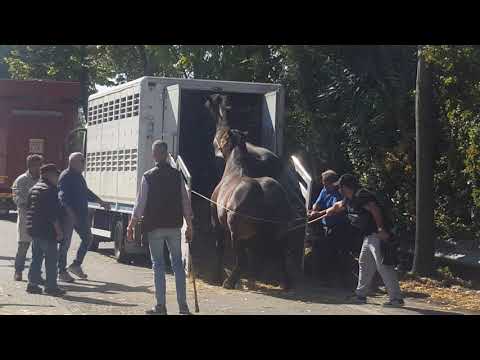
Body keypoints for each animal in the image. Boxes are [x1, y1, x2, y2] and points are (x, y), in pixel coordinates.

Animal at [212, 128, 294, 292]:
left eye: (224, 139)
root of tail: (266, 194)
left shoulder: (217, 225)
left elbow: (220, 248)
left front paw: (217, 277)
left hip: (237, 235)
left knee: (242, 260)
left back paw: (229, 282)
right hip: (279, 235)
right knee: (280, 256)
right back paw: (285, 283)